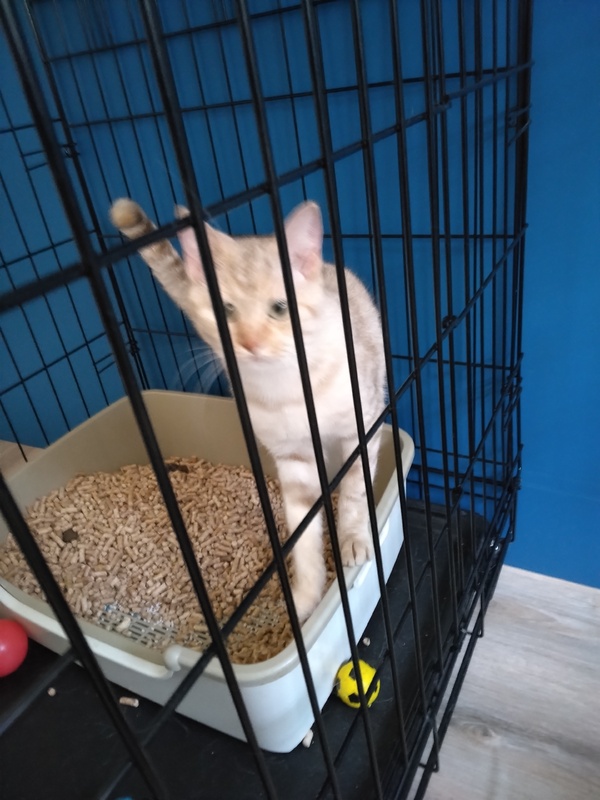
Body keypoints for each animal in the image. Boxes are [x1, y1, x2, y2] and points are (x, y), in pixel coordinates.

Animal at [110, 198, 386, 621]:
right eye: (225, 309)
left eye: (280, 308)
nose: (250, 343)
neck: (287, 389)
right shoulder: (292, 458)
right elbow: (303, 530)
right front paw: (306, 596)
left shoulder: (361, 425)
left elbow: (356, 491)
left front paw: (353, 538)